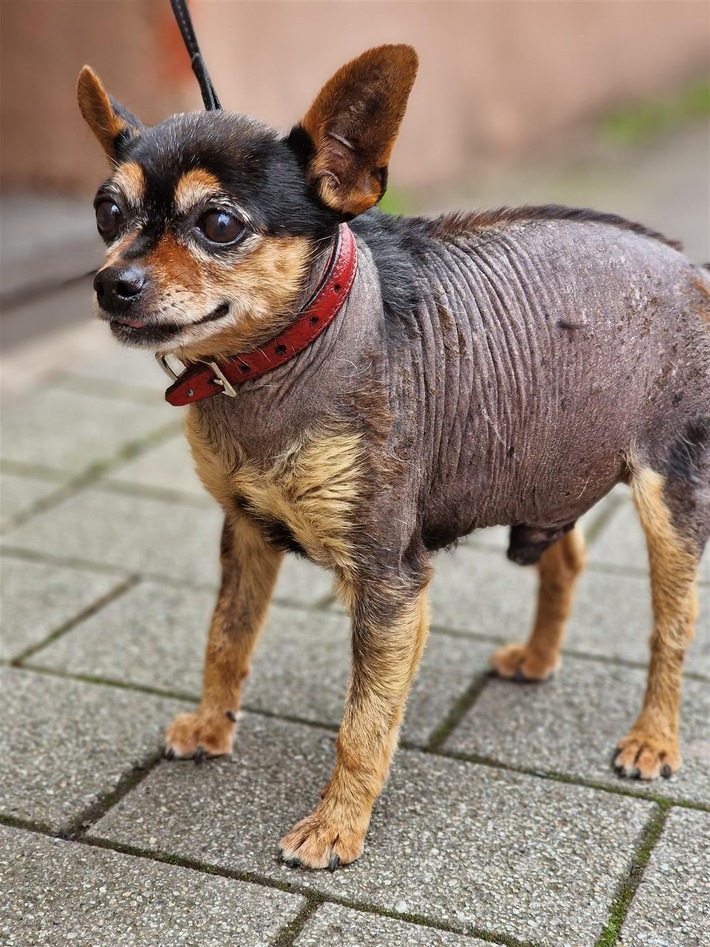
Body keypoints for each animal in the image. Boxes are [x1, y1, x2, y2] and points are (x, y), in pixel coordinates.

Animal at [75, 46, 708, 872]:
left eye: (218, 224)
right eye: (106, 213)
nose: (110, 282)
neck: (287, 357)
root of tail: (688, 264)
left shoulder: (389, 579)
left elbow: (365, 721)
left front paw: (337, 824)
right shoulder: (244, 534)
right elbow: (225, 636)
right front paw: (214, 725)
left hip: (669, 495)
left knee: (672, 626)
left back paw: (653, 736)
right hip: (545, 465)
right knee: (565, 560)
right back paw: (538, 657)